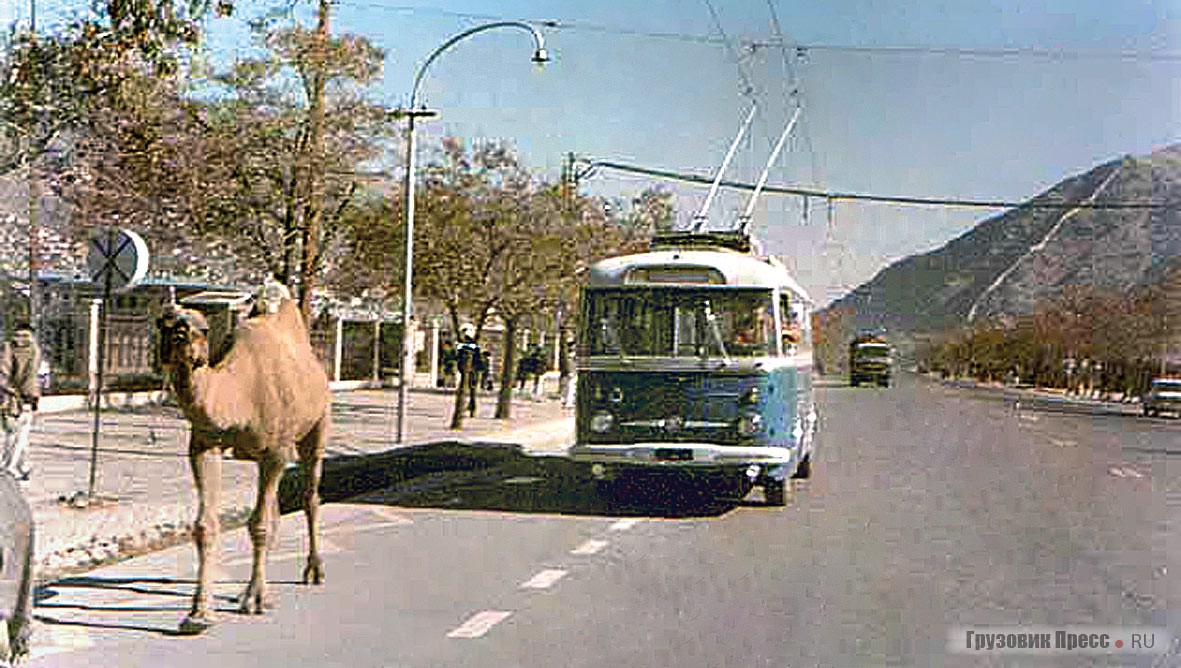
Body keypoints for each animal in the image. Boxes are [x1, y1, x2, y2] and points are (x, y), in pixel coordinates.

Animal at [157, 296, 330, 637]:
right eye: (161, 323)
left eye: (203, 328)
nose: (180, 334)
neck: (240, 393)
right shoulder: (205, 446)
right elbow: (205, 526)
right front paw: (198, 614)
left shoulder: (275, 452)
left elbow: (259, 525)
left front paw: (255, 599)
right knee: (276, 509)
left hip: (316, 428)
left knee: (310, 497)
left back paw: (312, 571)